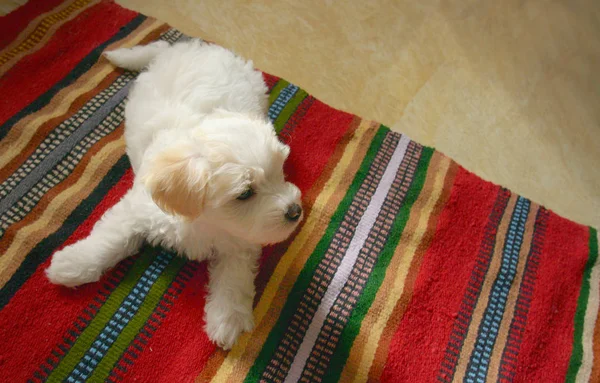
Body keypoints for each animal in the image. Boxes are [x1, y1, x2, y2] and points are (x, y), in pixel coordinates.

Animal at [47, 39, 302, 352]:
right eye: (245, 193)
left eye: (281, 172)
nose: (295, 211)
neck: (205, 221)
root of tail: (198, 47)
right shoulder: (138, 210)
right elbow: (108, 239)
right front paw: (72, 263)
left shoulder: (241, 240)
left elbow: (233, 278)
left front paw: (227, 320)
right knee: (157, 42)